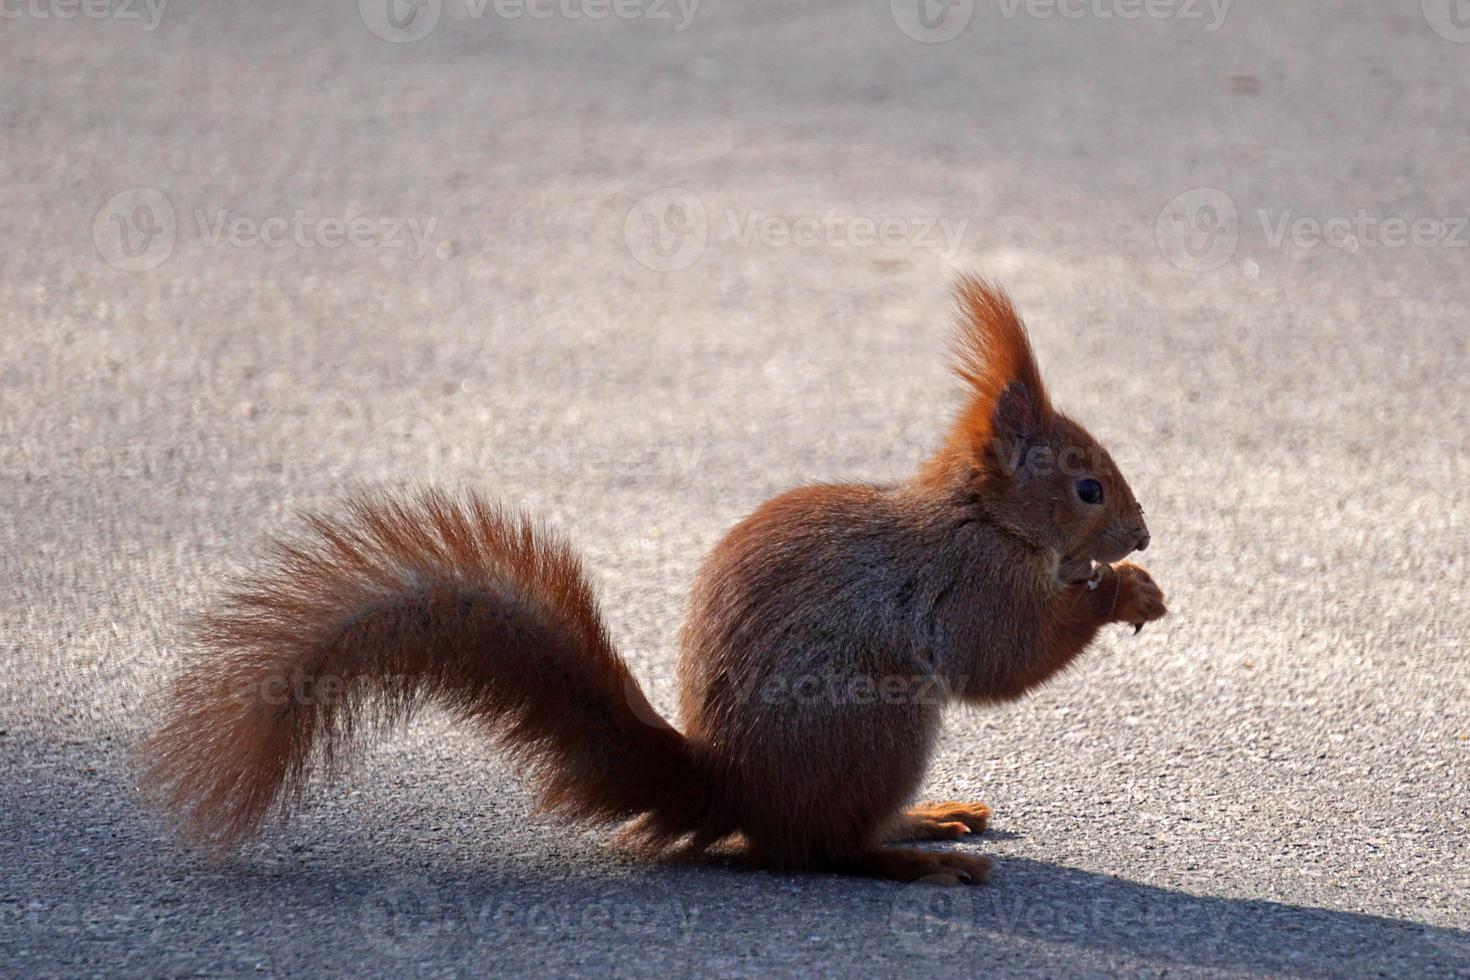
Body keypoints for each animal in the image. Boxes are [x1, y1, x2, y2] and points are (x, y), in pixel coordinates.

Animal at [143, 277, 1164, 887]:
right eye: (1087, 486)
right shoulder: (964, 582)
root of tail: (732, 790)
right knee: (818, 850)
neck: (981, 516)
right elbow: (1005, 658)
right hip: (877, 720)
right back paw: (905, 861)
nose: (1144, 531)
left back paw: (928, 819)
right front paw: (1123, 590)